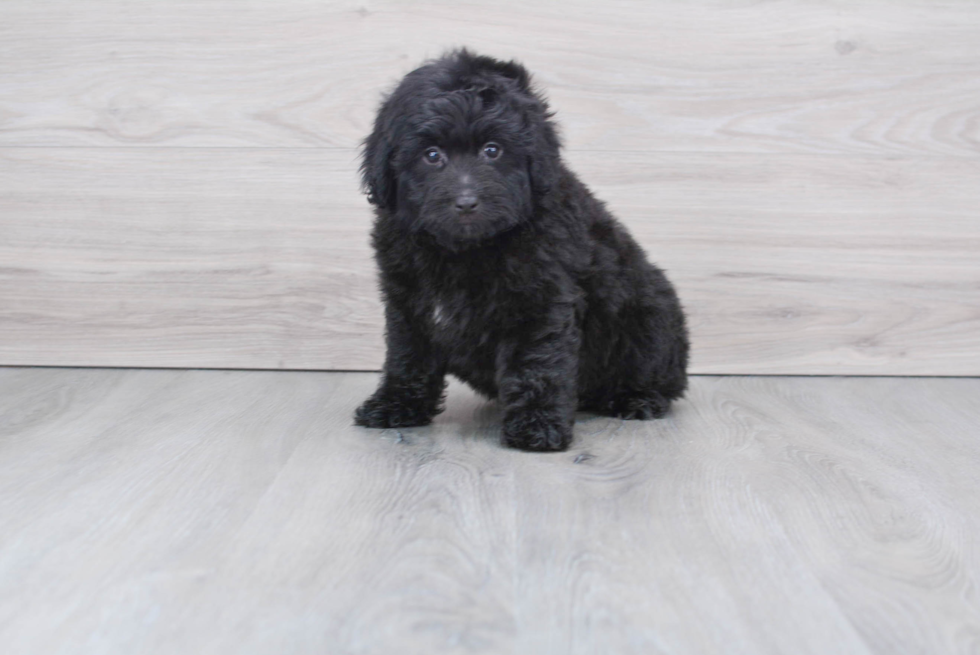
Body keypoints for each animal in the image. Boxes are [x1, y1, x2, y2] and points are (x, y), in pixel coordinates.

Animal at [354, 50, 688, 452]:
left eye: (492, 150)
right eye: (432, 155)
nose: (467, 202)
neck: (464, 250)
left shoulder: (539, 302)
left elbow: (536, 362)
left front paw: (537, 424)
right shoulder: (407, 302)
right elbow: (407, 356)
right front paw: (395, 404)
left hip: (651, 316)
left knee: (658, 373)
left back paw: (637, 398)